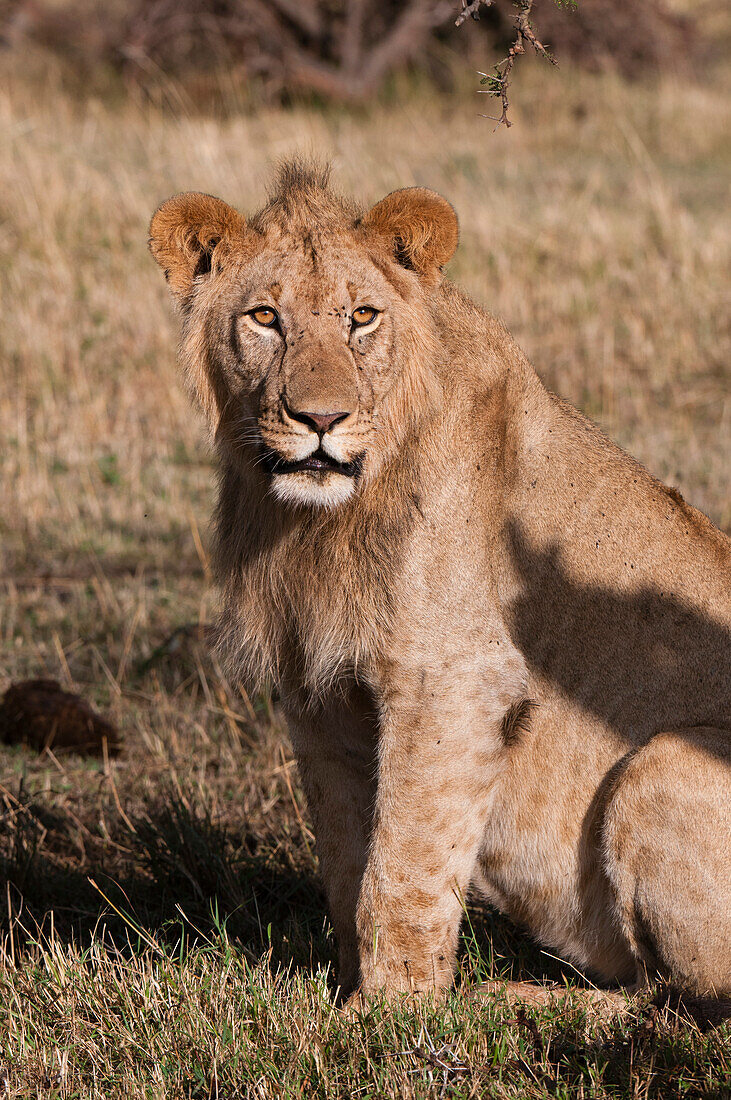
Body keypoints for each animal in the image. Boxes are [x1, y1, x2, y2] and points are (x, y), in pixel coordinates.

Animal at [149, 159, 729, 1007]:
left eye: (361, 317)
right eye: (264, 318)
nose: (320, 419)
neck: (320, 525)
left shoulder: (451, 680)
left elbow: (403, 865)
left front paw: (391, 1013)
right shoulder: (317, 692)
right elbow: (347, 858)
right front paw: (347, 993)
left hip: (662, 760)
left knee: (681, 1001)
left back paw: (507, 999)